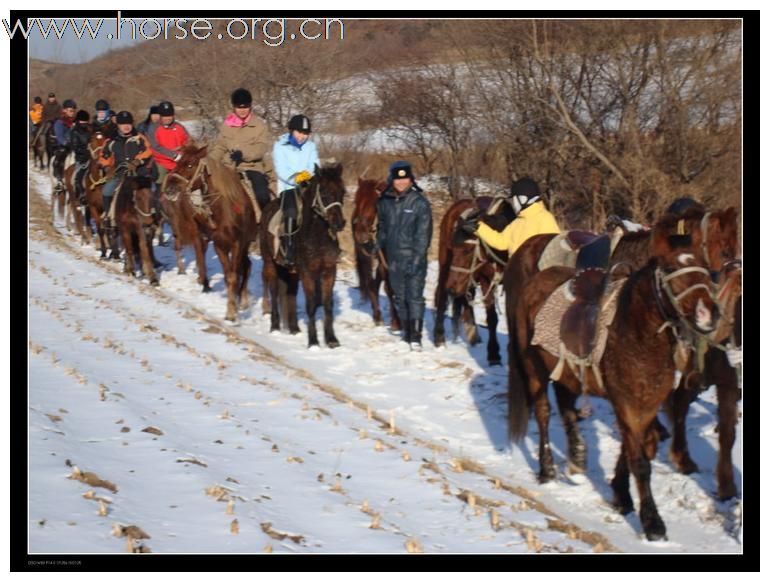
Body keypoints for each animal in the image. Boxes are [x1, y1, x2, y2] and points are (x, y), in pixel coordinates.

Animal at [164, 144, 258, 322]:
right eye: (177, 161)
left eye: (190, 165)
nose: (169, 189)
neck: (226, 210)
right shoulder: (219, 245)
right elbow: (228, 277)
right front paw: (231, 309)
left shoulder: (237, 244)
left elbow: (234, 275)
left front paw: (232, 313)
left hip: (245, 243)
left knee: (246, 267)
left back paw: (242, 299)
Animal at [260, 162, 346, 350]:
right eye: (324, 192)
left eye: (342, 191)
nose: (339, 224)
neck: (317, 235)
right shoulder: (308, 272)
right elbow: (311, 305)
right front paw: (313, 341)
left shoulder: (329, 271)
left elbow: (327, 304)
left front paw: (331, 339)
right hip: (270, 263)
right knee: (274, 291)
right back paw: (275, 326)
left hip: (292, 272)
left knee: (290, 293)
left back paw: (294, 328)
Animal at [432, 198, 510, 368]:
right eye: (454, 248)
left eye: (468, 250)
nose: (452, 288)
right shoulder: (487, 281)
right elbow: (492, 318)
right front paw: (494, 354)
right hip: (446, 268)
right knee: (442, 297)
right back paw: (439, 337)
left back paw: (474, 335)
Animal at [508, 212, 716, 544]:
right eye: (671, 268)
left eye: (706, 268)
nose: (708, 315)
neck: (636, 333)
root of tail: (535, 281)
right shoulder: (628, 404)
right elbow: (640, 462)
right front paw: (652, 522)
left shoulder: (645, 404)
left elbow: (636, 449)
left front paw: (621, 496)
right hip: (533, 369)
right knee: (542, 413)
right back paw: (547, 470)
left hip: (566, 372)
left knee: (566, 407)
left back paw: (577, 457)